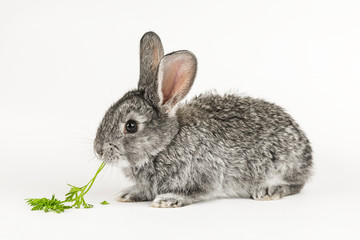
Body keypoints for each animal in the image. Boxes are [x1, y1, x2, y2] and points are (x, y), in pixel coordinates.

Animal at [93, 31, 312, 208]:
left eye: (131, 126)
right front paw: (129, 193)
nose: (98, 150)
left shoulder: (205, 175)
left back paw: (268, 190)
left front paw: (169, 199)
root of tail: (307, 152)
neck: (166, 144)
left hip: (282, 165)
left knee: (296, 185)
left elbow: (195, 192)